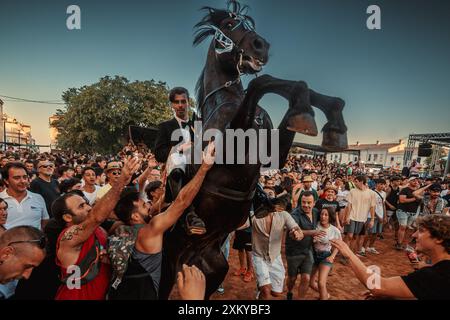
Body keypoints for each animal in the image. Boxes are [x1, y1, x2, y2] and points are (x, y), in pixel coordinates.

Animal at [158, 0, 348, 300]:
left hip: (213, 268)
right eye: (228, 25)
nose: (261, 45)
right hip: (168, 266)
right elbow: (263, 82)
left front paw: (328, 117)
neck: (226, 99)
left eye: (248, 25)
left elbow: (289, 90)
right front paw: (312, 112)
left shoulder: (274, 152)